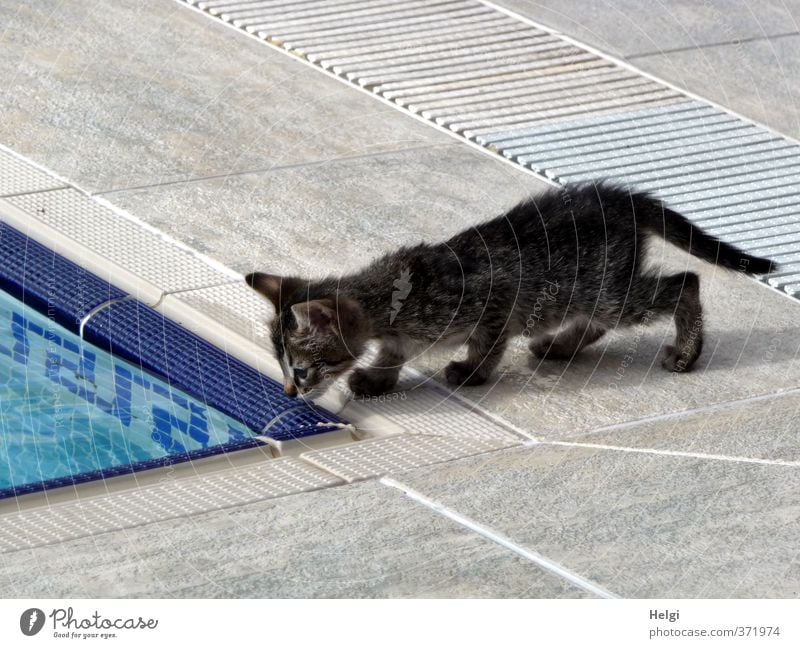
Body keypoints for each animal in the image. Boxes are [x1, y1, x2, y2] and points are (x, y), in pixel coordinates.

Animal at [247, 180, 772, 398]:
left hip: (606, 290)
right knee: (596, 321)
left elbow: (489, 344)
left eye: (301, 369)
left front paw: (471, 372)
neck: (389, 302)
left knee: (684, 283)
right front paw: (378, 379)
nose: (289, 391)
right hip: (591, 288)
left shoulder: (496, 300)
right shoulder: (399, 336)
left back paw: (686, 352)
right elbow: (391, 355)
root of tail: (619, 198)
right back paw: (559, 346)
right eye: (283, 367)